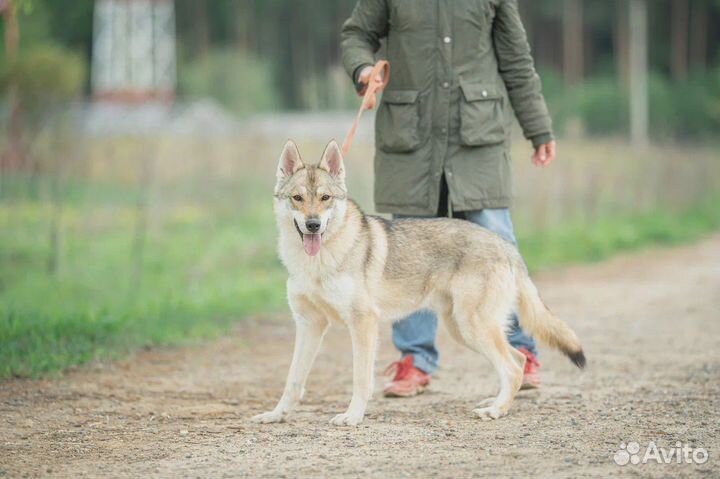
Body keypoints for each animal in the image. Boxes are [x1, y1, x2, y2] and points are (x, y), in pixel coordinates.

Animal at [250, 140, 584, 428]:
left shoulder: (363, 323)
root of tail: (507, 247)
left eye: (325, 198)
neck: (317, 262)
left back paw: (495, 410)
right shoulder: (309, 324)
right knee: (516, 359)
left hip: (473, 327)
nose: (313, 225)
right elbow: (293, 380)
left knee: (513, 367)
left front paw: (352, 417)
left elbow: (361, 379)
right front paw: (276, 414)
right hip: (462, 330)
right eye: (297, 198)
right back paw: (495, 401)